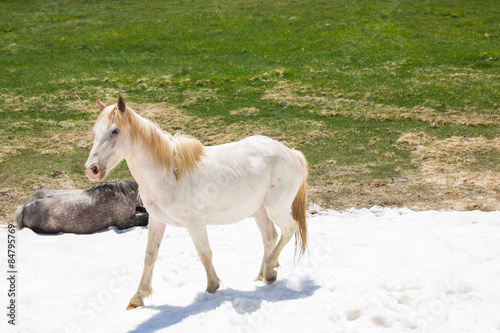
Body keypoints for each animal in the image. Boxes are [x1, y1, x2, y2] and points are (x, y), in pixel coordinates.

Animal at [84, 95, 306, 308]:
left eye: (115, 130)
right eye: (95, 131)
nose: (91, 169)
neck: (167, 173)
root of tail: (292, 154)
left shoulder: (195, 221)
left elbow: (204, 253)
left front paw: (212, 287)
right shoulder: (156, 220)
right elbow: (150, 256)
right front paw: (138, 298)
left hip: (276, 209)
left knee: (289, 229)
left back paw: (269, 270)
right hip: (259, 210)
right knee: (270, 237)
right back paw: (263, 276)